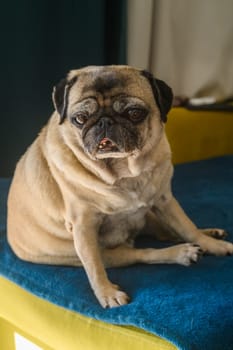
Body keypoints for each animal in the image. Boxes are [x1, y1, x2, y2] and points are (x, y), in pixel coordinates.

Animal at [7, 65, 233, 306]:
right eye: (80, 118)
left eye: (134, 113)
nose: (105, 121)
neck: (124, 172)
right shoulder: (83, 227)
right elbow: (95, 267)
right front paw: (107, 293)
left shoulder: (165, 200)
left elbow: (187, 227)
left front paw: (212, 245)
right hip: (108, 253)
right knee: (144, 253)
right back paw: (182, 253)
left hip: (150, 214)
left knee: (171, 231)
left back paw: (209, 234)